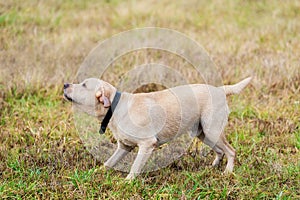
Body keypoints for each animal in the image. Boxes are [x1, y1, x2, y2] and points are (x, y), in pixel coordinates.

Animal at [63, 77, 251, 180]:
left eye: (84, 85)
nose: (65, 84)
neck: (115, 107)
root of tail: (220, 90)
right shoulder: (124, 147)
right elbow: (109, 162)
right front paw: (96, 173)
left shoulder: (147, 144)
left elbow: (135, 167)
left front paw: (127, 182)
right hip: (205, 134)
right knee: (220, 151)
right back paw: (213, 167)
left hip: (212, 131)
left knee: (231, 151)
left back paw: (227, 172)